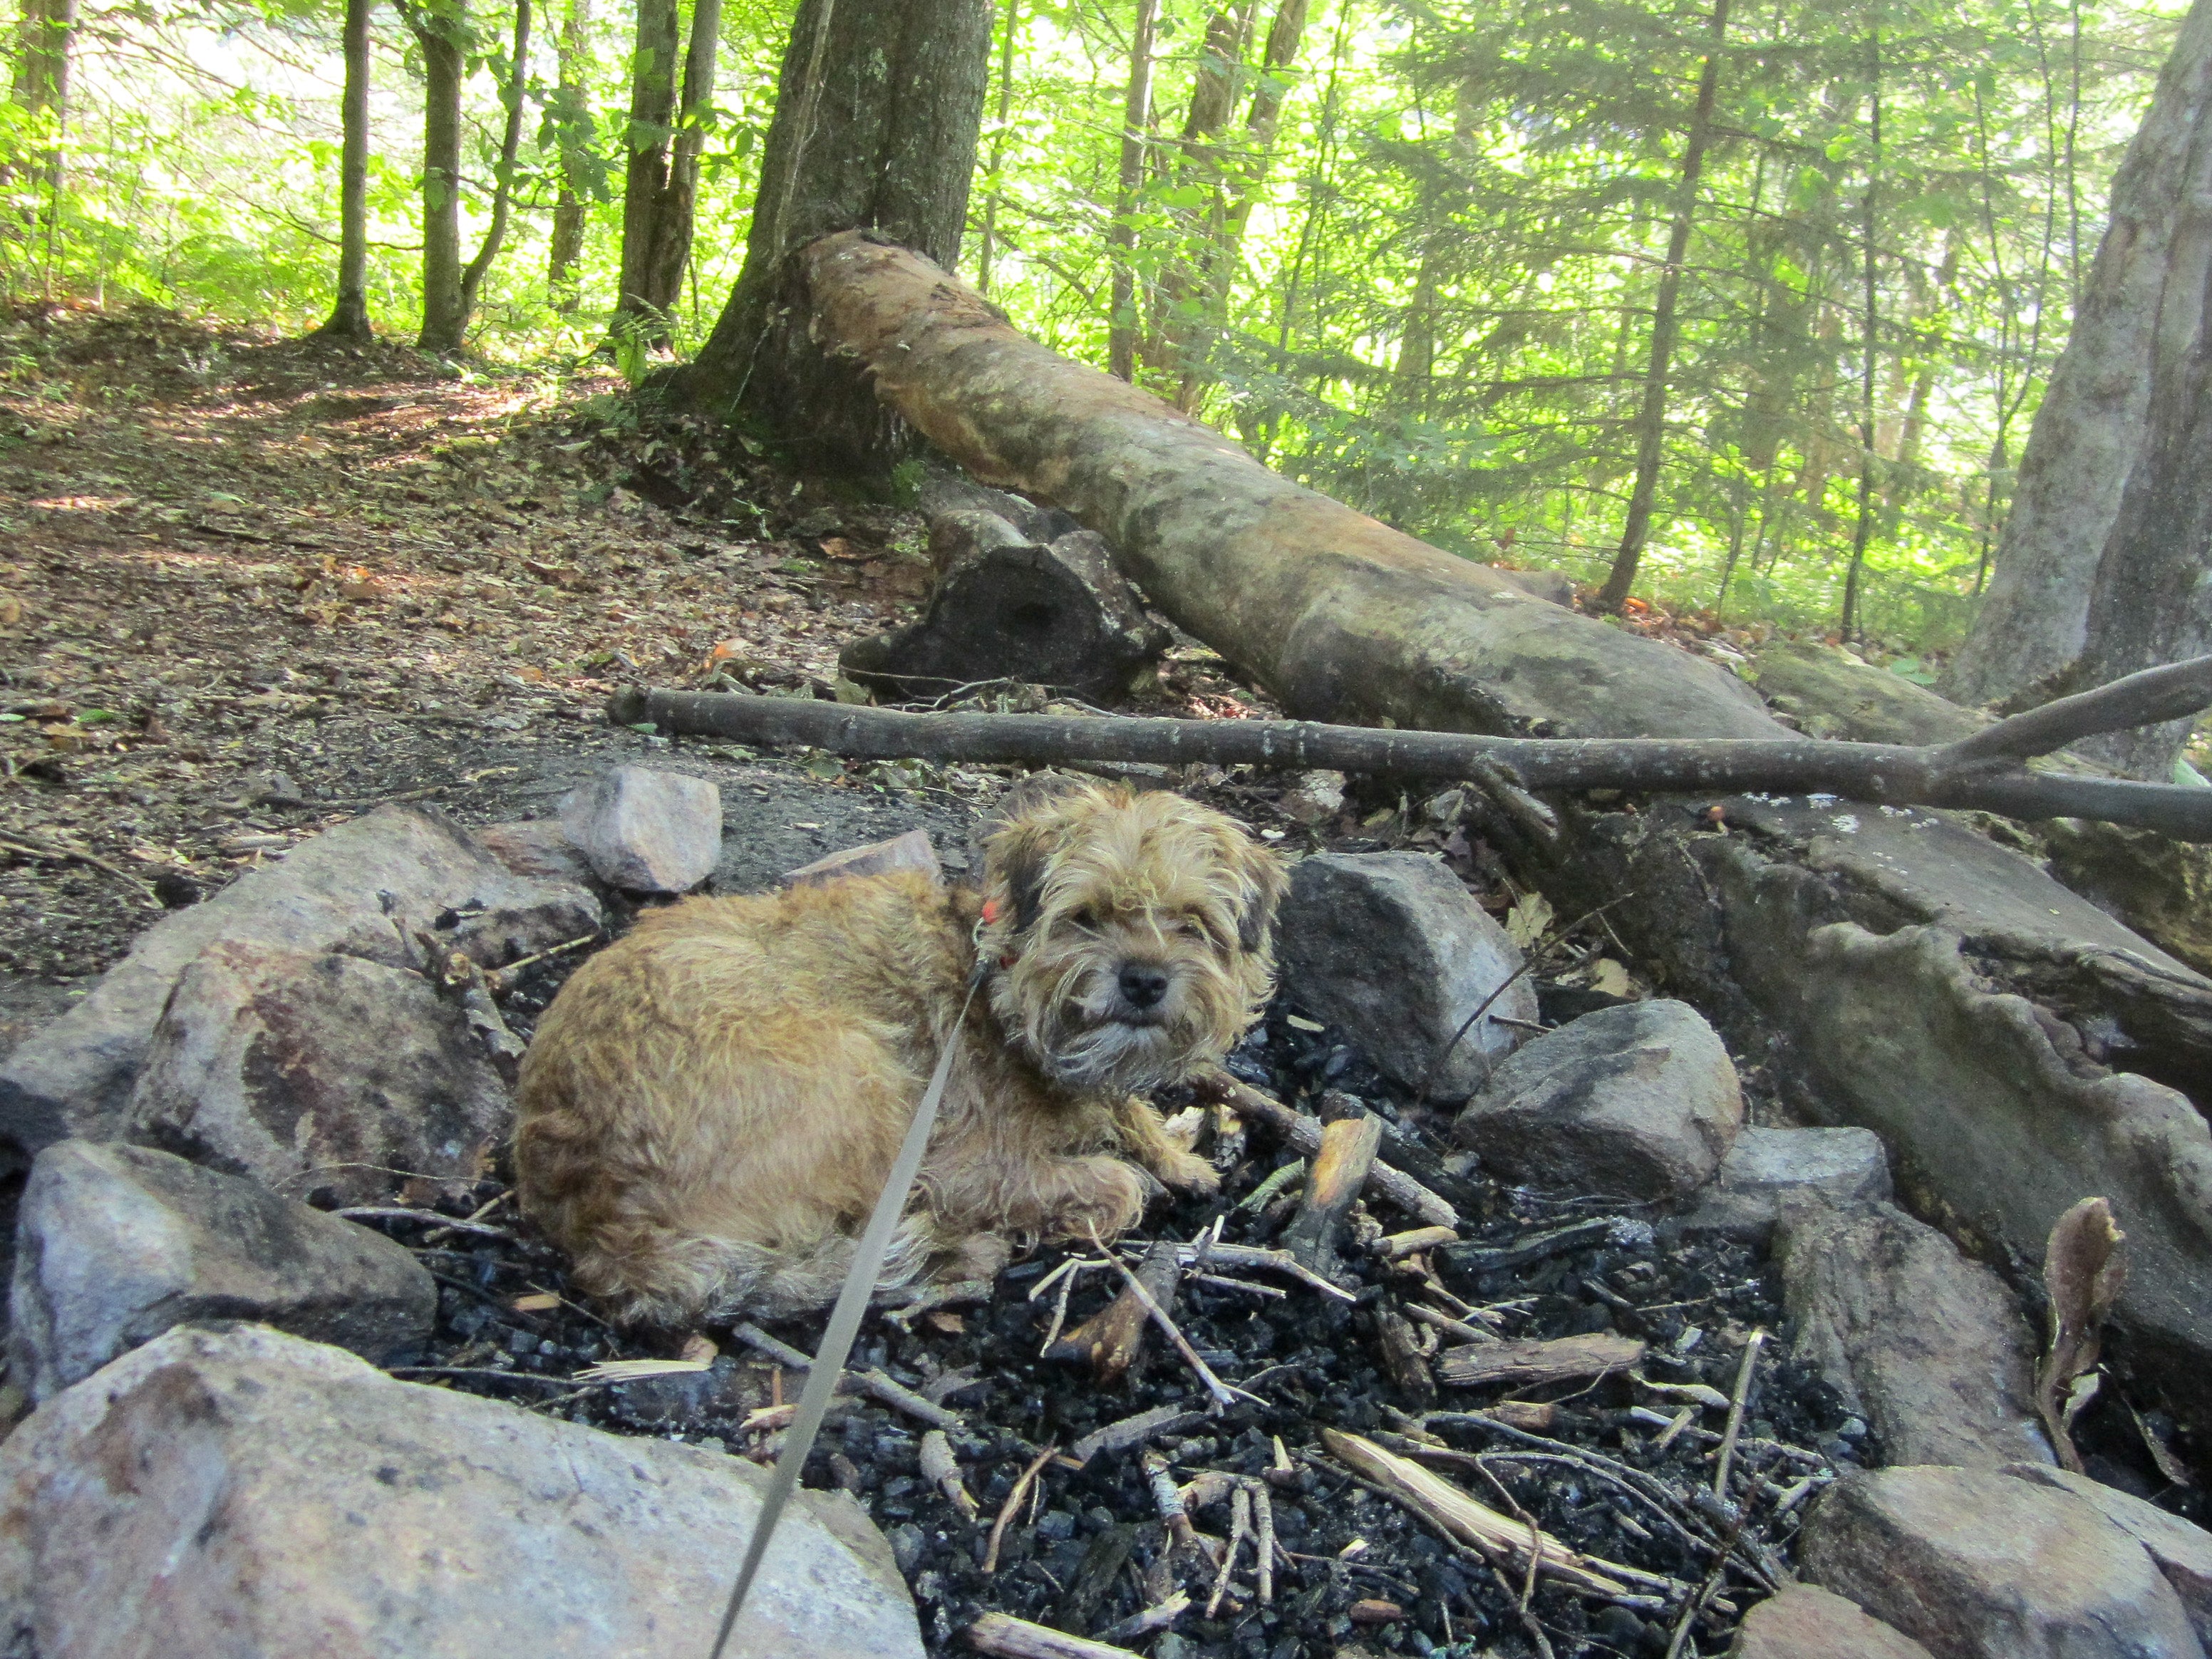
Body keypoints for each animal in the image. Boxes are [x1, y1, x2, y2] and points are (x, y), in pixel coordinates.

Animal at [511, 787, 1291, 1335]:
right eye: (1085, 917)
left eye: (1193, 922)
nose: (1143, 980)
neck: (999, 991)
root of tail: (599, 1218)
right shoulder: (957, 1159)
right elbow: (1105, 1185)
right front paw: (1125, 1175)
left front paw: (1171, 1151)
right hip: (856, 1071)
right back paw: (957, 1254)